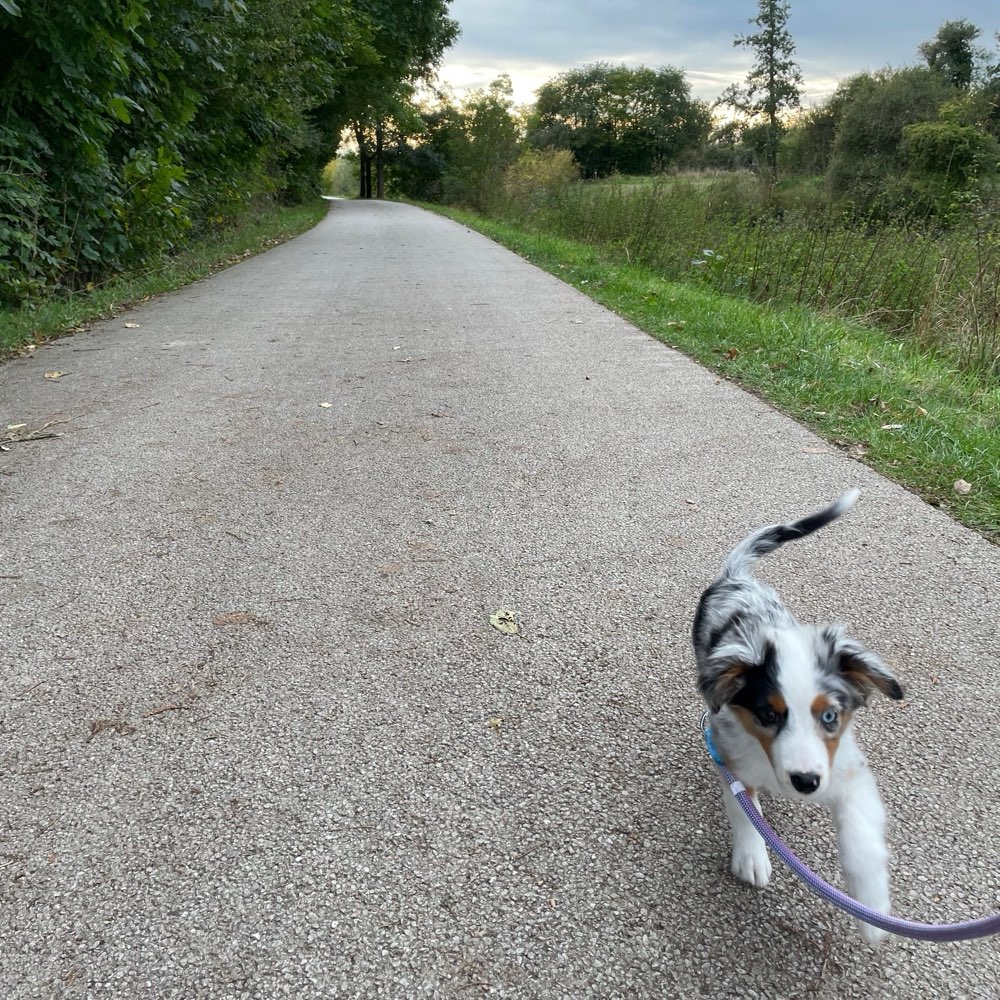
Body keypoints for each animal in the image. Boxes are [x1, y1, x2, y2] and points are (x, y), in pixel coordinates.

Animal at [692, 492, 904, 944]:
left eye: (830, 716)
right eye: (768, 714)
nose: (805, 782)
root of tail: (737, 576)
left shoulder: (848, 769)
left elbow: (861, 836)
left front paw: (872, 908)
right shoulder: (733, 759)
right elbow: (745, 812)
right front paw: (752, 857)